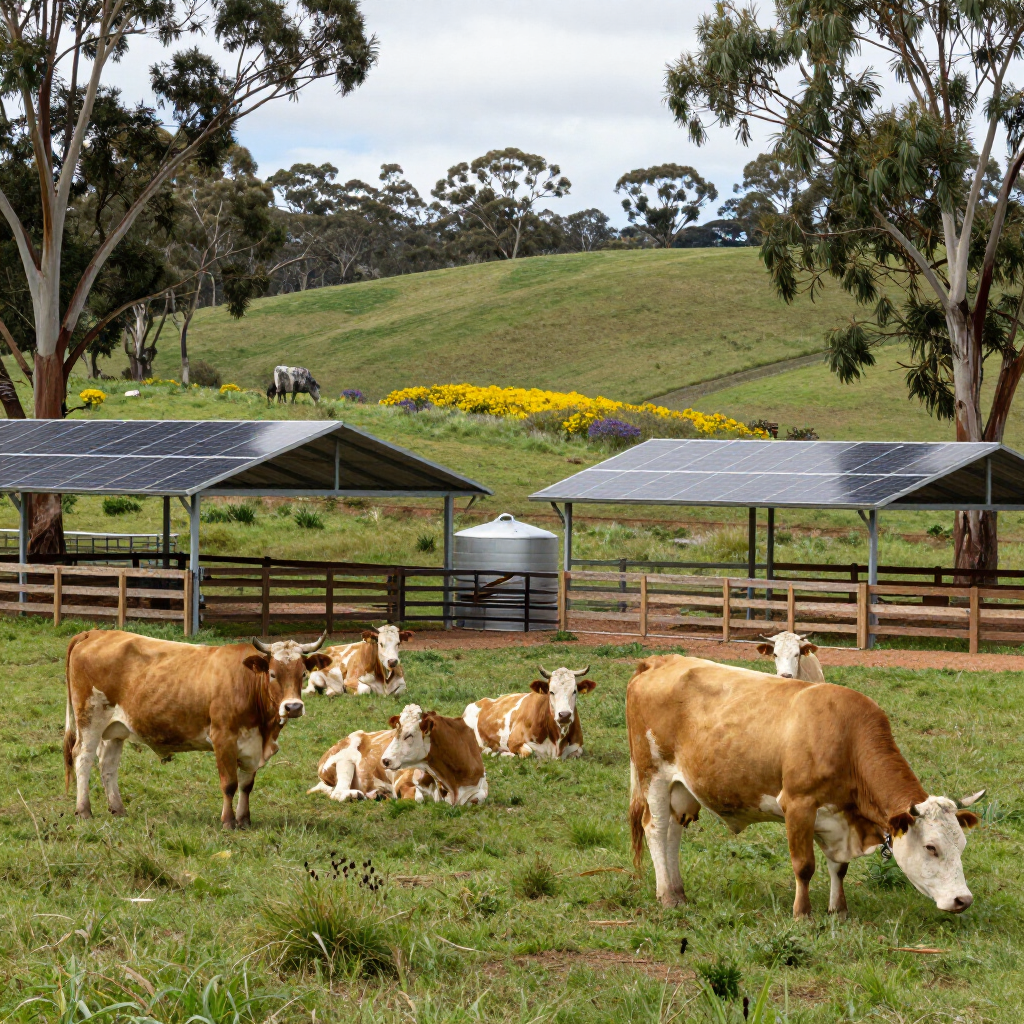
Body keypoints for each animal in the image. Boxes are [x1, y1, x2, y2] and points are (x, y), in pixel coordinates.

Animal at [64, 630, 330, 829]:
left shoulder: (252, 745)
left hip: (114, 728)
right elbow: (229, 784)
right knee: (83, 758)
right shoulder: (223, 739)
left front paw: (244, 820)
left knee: (107, 765)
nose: (293, 707)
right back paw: (84, 811)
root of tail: (94, 633)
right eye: (273, 674)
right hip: (90, 718)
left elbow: (246, 785)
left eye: (303, 673)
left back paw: (118, 809)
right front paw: (228, 822)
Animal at [627, 654, 982, 919]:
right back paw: (666, 896)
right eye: (931, 848)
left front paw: (838, 910)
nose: (963, 900)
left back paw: (678, 892)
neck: (846, 738)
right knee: (656, 829)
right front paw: (803, 914)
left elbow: (839, 868)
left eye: (962, 845)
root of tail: (658, 661)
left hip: (682, 788)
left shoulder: (837, 816)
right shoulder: (798, 805)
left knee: (673, 833)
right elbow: (805, 866)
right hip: (653, 775)